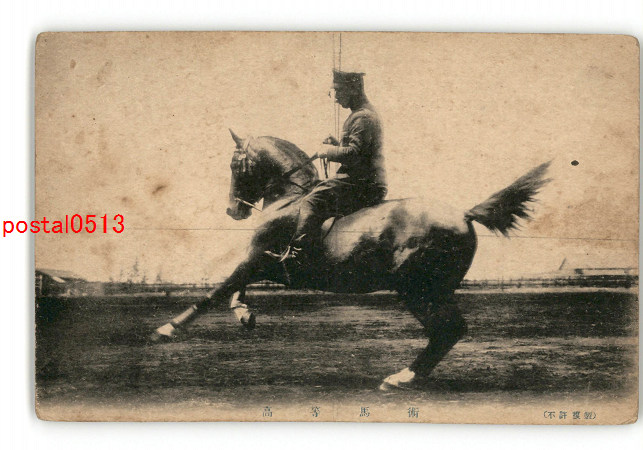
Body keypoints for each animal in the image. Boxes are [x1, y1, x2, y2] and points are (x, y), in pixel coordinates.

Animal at [151, 129, 551, 390]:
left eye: (236, 163)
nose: (233, 211)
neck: (291, 198)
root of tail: (464, 216)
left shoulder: (258, 259)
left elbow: (218, 290)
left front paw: (168, 329)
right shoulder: (266, 264)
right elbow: (236, 289)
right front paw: (245, 314)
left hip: (418, 289)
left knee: (446, 330)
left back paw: (401, 378)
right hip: (433, 290)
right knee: (450, 330)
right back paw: (407, 376)